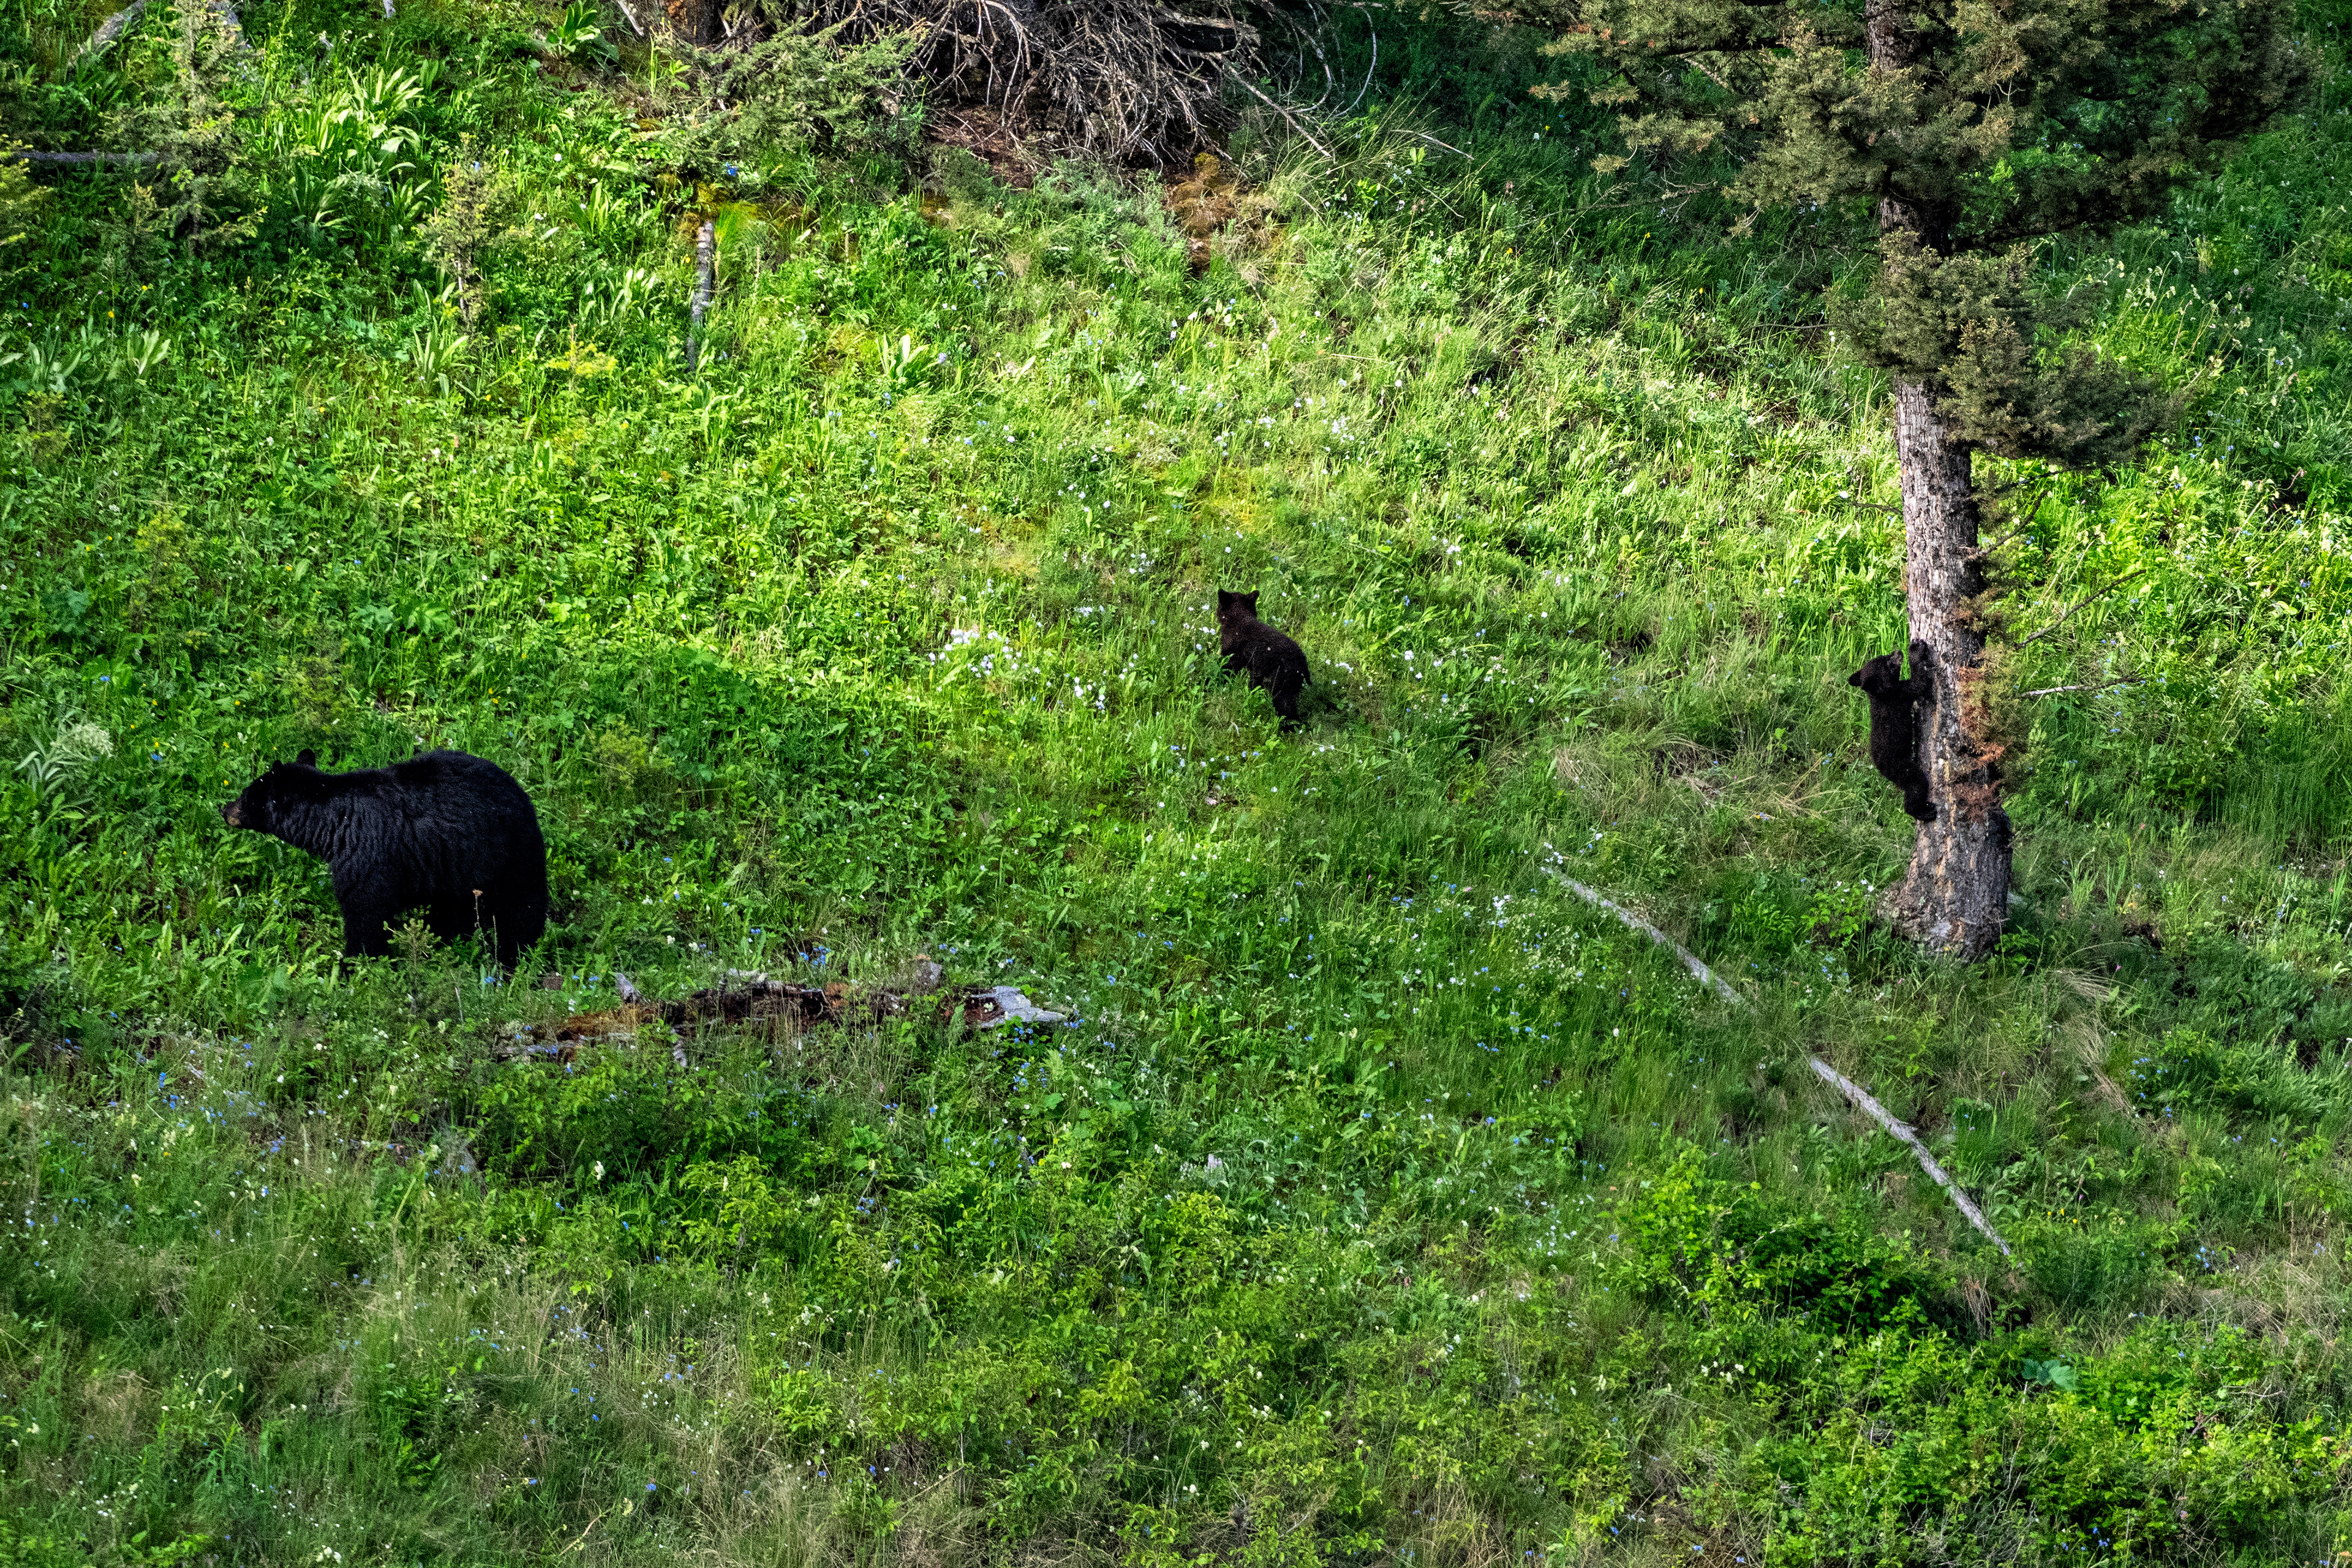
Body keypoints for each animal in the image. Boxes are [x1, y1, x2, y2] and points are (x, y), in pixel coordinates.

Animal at [222, 748, 549, 968]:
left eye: (247, 794)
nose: (224, 809)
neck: (333, 823)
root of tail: (525, 798)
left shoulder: (367, 857)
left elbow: (366, 914)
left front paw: (352, 966)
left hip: (507, 854)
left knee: (521, 908)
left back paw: (512, 956)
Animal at [1216, 589, 1312, 729]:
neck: (1239, 617)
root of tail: (1303, 664)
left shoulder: (1234, 657)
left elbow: (1225, 670)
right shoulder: (1256, 670)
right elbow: (1254, 686)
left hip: (1280, 683)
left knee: (1286, 709)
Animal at [1848, 640, 1937, 823]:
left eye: (1883, 656)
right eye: (1888, 663)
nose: (1897, 652)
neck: (1881, 694)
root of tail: (1880, 768)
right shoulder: (1900, 694)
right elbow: (1918, 683)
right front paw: (1916, 652)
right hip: (1901, 768)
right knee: (1916, 785)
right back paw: (1922, 812)